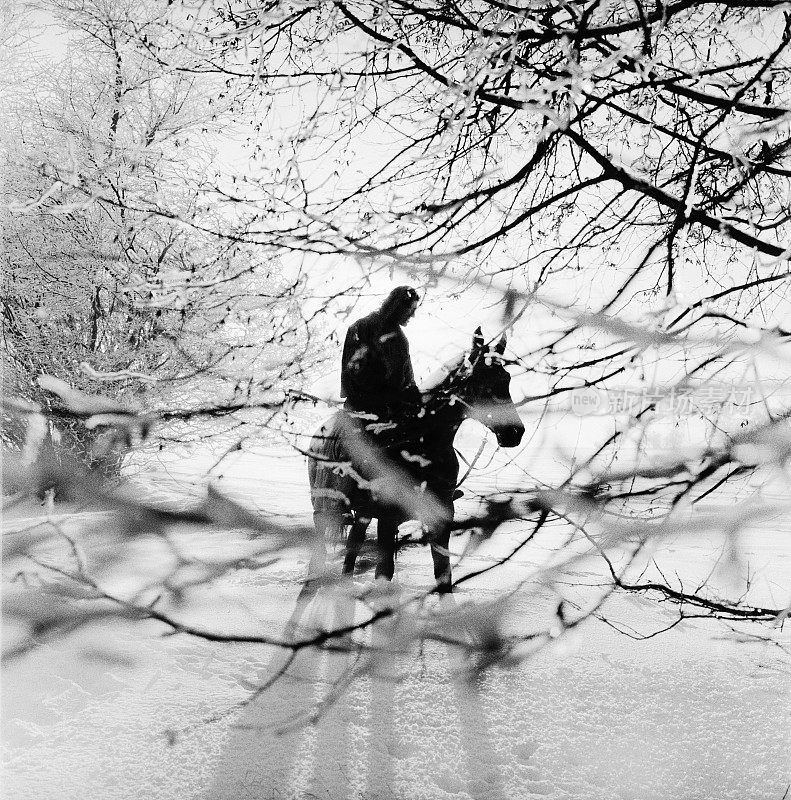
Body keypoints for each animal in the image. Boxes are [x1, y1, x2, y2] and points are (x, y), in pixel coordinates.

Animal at [308, 326, 524, 592]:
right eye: (480, 381)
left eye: (507, 379)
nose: (515, 432)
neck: (423, 447)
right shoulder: (387, 520)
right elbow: (384, 573)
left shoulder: (441, 520)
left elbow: (443, 576)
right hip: (324, 512)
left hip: (362, 515)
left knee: (351, 552)